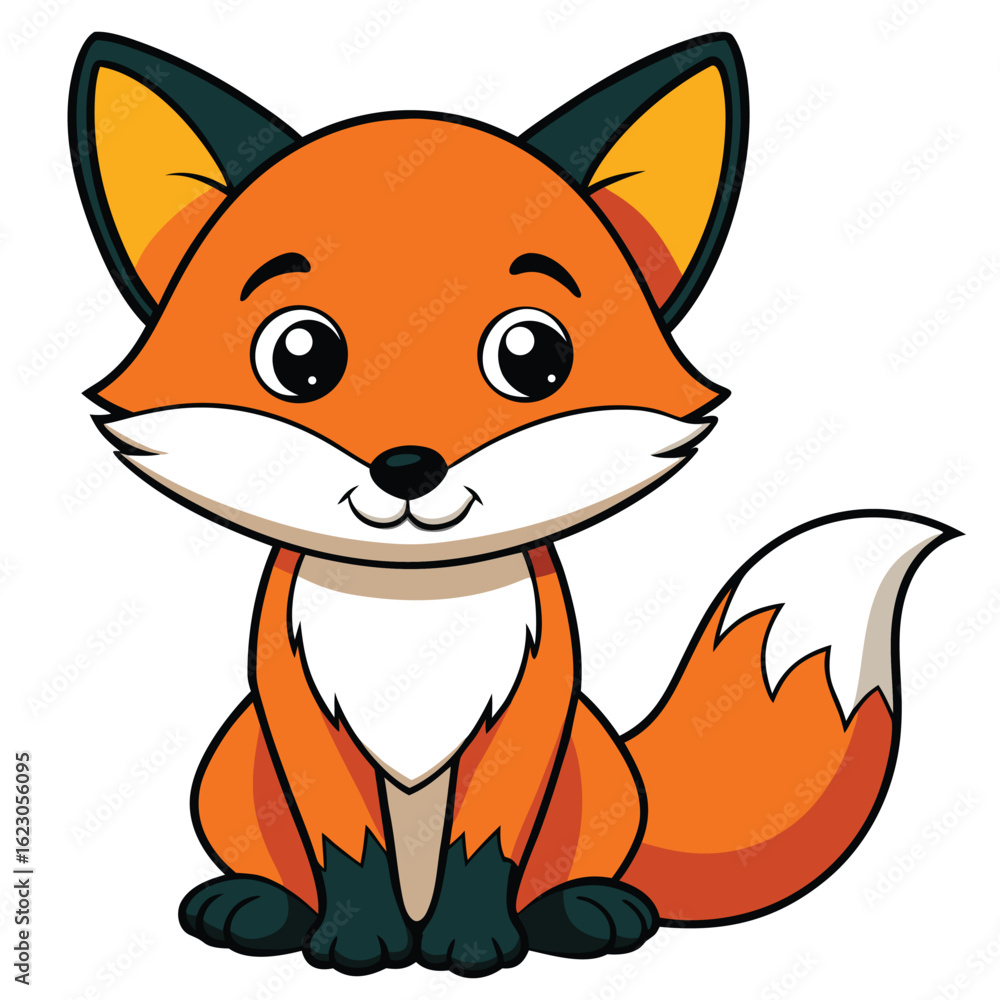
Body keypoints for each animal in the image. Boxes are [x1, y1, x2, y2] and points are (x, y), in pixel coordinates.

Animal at [69, 31, 956, 976]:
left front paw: (471, 943)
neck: (412, 600)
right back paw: (258, 906)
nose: (408, 467)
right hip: (233, 763)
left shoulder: (534, 708)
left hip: (593, 761)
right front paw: (358, 941)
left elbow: (485, 846)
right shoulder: (297, 709)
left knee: (573, 869)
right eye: (299, 356)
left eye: (531, 356)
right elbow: (347, 848)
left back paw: (584, 909)